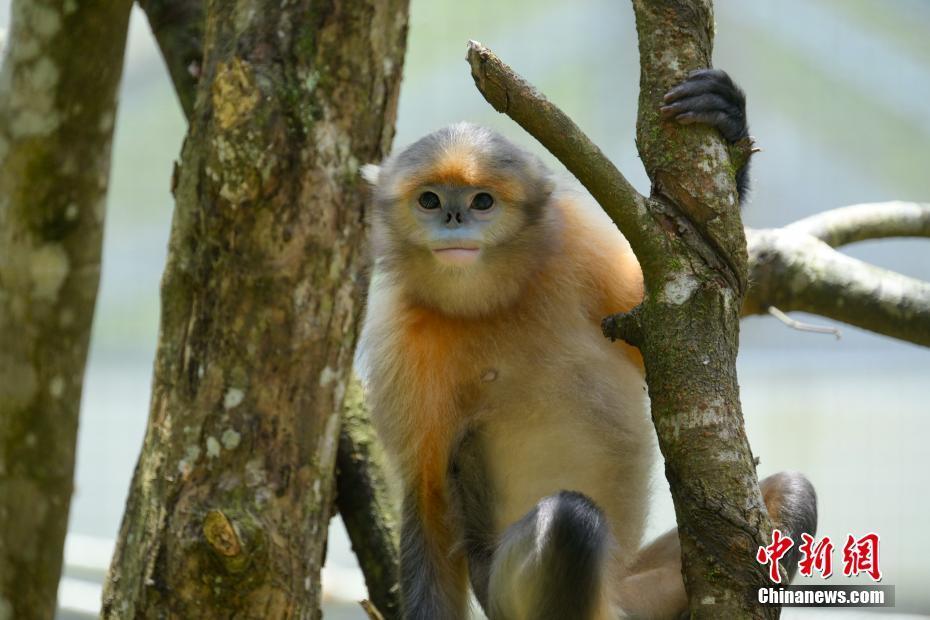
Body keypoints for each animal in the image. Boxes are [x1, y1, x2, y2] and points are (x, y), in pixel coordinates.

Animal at [356, 69, 812, 620]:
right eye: (429, 200)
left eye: (482, 201)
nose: (452, 219)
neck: (491, 304)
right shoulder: (403, 342)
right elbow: (427, 500)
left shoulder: (577, 244)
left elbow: (683, 318)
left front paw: (725, 119)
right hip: (505, 590)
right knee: (571, 520)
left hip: (641, 590)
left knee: (795, 491)